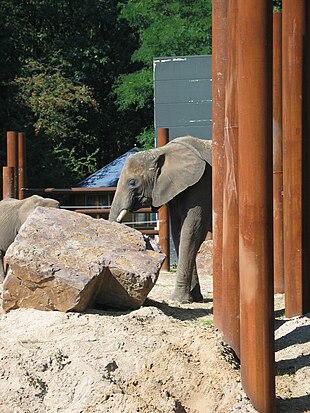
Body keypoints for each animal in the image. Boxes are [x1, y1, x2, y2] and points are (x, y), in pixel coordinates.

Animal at [108, 135, 212, 302]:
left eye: (132, 182)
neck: (160, 151)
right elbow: (178, 233)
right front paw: (193, 299)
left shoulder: (201, 185)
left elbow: (193, 231)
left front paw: (178, 300)